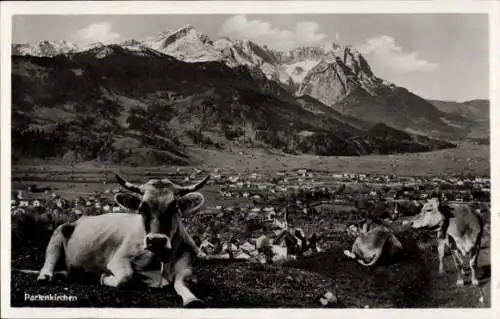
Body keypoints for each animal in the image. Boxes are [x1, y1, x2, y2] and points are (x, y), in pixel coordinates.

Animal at [35, 174, 210, 308]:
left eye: (174, 207)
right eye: (142, 208)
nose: (156, 240)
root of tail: (81, 218)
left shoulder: (187, 266)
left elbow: (182, 281)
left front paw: (192, 299)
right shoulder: (119, 259)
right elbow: (127, 276)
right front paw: (105, 278)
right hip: (58, 233)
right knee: (49, 260)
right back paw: (46, 276)